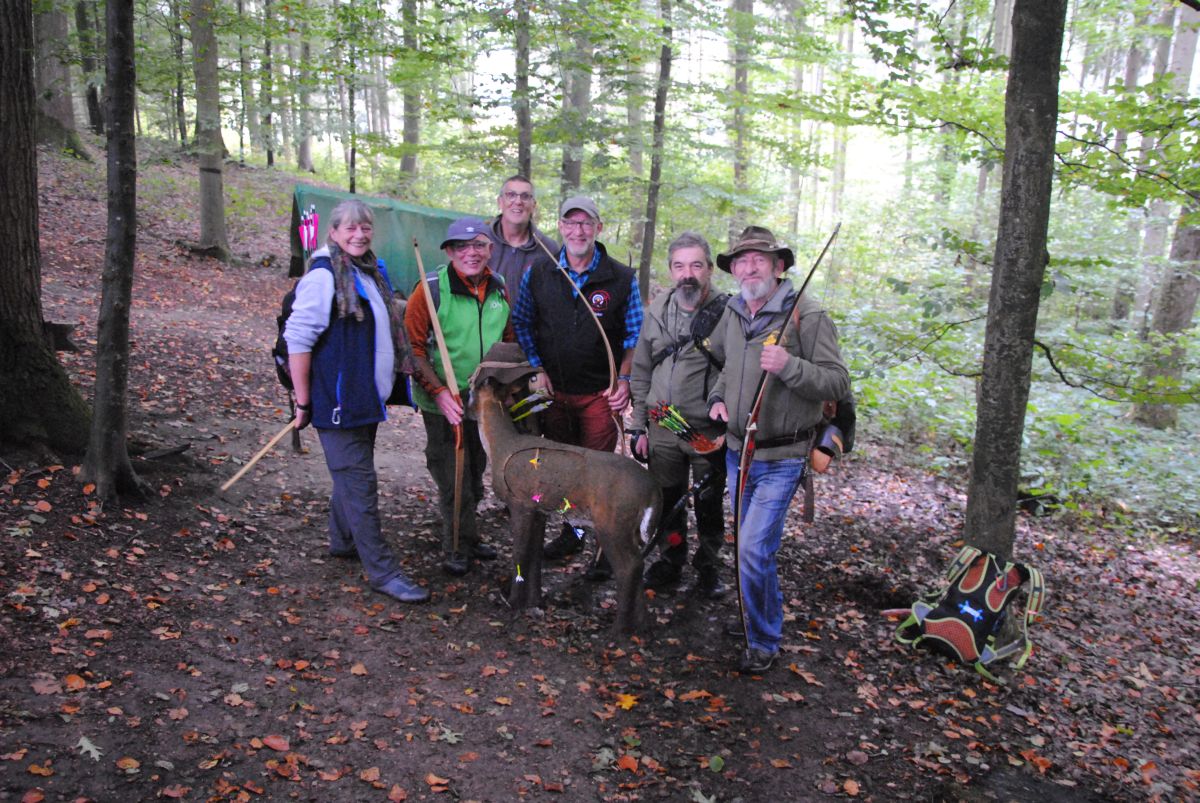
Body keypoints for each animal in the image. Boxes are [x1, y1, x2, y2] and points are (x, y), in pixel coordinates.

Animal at [469, 344, 661, 634]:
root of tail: (652, 490)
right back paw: (642, 627)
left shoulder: (520, 502)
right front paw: (534, 601)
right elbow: (534, 555)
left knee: (630, 567)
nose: (462, 404)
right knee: (638, 563)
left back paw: (617, 632)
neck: (501, 447)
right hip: (631, 528)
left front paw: (511, 602)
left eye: (473, 383)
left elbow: (518, 553)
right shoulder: (539, 508)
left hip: (613, 521)